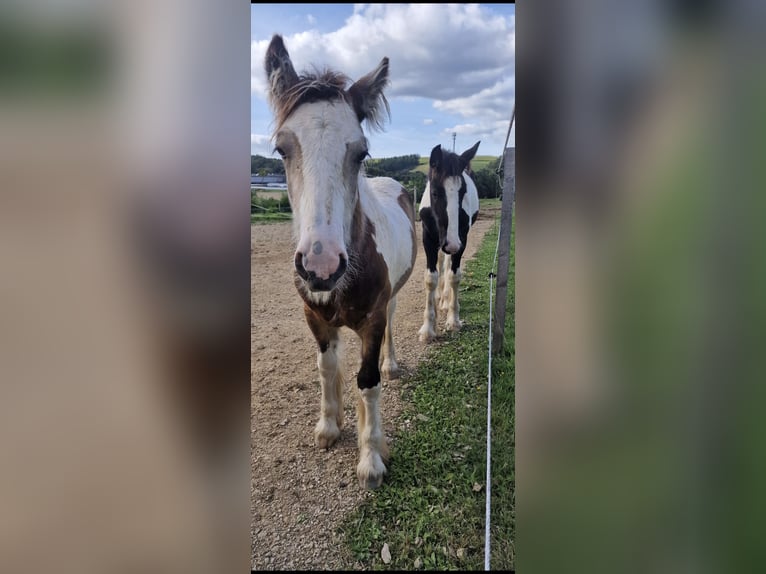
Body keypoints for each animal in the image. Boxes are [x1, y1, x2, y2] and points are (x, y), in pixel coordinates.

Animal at [264, 35, 417, 490]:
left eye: (361, 152)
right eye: (281, 147)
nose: (321, 266)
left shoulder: (373, 319)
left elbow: (368, 381)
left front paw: (371, 459)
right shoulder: (314, 318)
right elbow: (326, 366)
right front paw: (329, 427)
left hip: (393, 300)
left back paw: (392, 364)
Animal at [417, 141, 481, 342]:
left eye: (463, 192)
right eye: (435, 192)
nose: (451, 243)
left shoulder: (462, 239)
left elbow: (454, 276)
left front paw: (453, 320)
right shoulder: (428, 238)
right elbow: (431, 278)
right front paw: (427, 329)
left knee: (447, 263)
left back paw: (445, 300)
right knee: (440, 260)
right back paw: (439, 296)